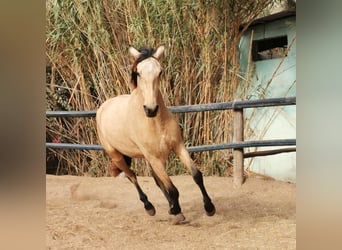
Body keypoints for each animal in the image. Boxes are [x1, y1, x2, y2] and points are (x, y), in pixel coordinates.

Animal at [95, 45, 215, 225]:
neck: (156, 123)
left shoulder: (177, 147)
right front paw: (177, 212)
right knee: (132, 176)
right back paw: (149, 207)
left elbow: (196, 176)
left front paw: (209, 208)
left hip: (152, 157)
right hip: (117, 155)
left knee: (157, 181)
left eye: (160, 72)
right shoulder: (154, 157)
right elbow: (172, 188)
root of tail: (103, 107)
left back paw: (170, 207)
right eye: (138, 73)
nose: (151, 109)